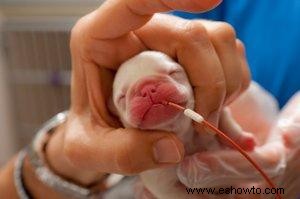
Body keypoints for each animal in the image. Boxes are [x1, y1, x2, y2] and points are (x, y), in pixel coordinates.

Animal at [109, 51, 255, 199]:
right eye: (121, 97)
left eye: (174, 72)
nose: (148, 88)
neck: (184, 136)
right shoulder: (163, 184)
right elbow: (183, 195)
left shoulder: (215, 113)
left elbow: (227, 123)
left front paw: (245, 142)